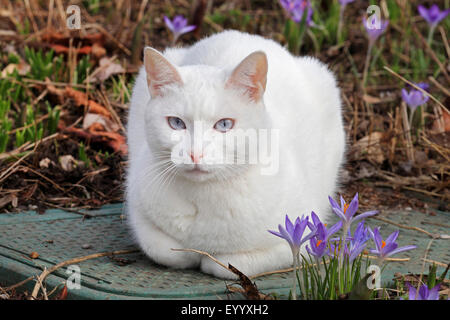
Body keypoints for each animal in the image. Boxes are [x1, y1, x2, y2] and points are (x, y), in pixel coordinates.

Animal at [125, 31, 344, 278]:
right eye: (176, 123)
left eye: (224, 124)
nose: (195, 154)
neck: (204, 196)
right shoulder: (138, 212)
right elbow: (167, 250)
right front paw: (191, 253)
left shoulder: (300, 240)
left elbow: (228, 264)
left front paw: (209, 259)